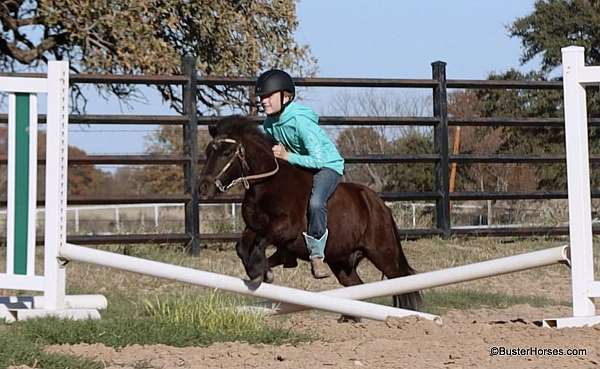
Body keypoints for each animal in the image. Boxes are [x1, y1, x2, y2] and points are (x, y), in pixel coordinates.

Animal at [199, 114, 420, 308]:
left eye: (227, 153)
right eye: (208, 152)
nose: (203, 188)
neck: (267, 184)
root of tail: (380, 205)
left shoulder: (285, 228)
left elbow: (261, 243)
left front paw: (262, 271)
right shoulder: (254, 227)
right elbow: (243, 247)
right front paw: (259, 272)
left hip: (383, 254)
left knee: (402, 282)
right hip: (342, 262)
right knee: (356, 286)